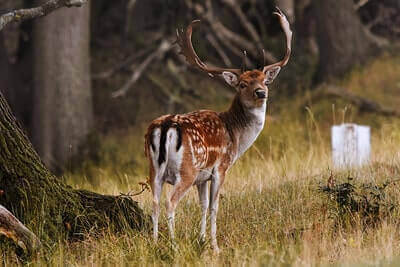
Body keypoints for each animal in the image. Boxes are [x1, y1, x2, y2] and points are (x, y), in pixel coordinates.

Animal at [145, 7, 292, 253]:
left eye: (265, 80)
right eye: (242, 84)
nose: (261, 93)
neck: (236, 135)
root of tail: (166, 127)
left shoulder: (202, 178)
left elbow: (203, 205)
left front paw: (202, 240)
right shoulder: (220, 167)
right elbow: (214, 206)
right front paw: (215, 246)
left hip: (153, 168)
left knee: (154, 202)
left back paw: (154, 244)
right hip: (186, 170)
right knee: (170, 202)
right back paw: (173, 246)